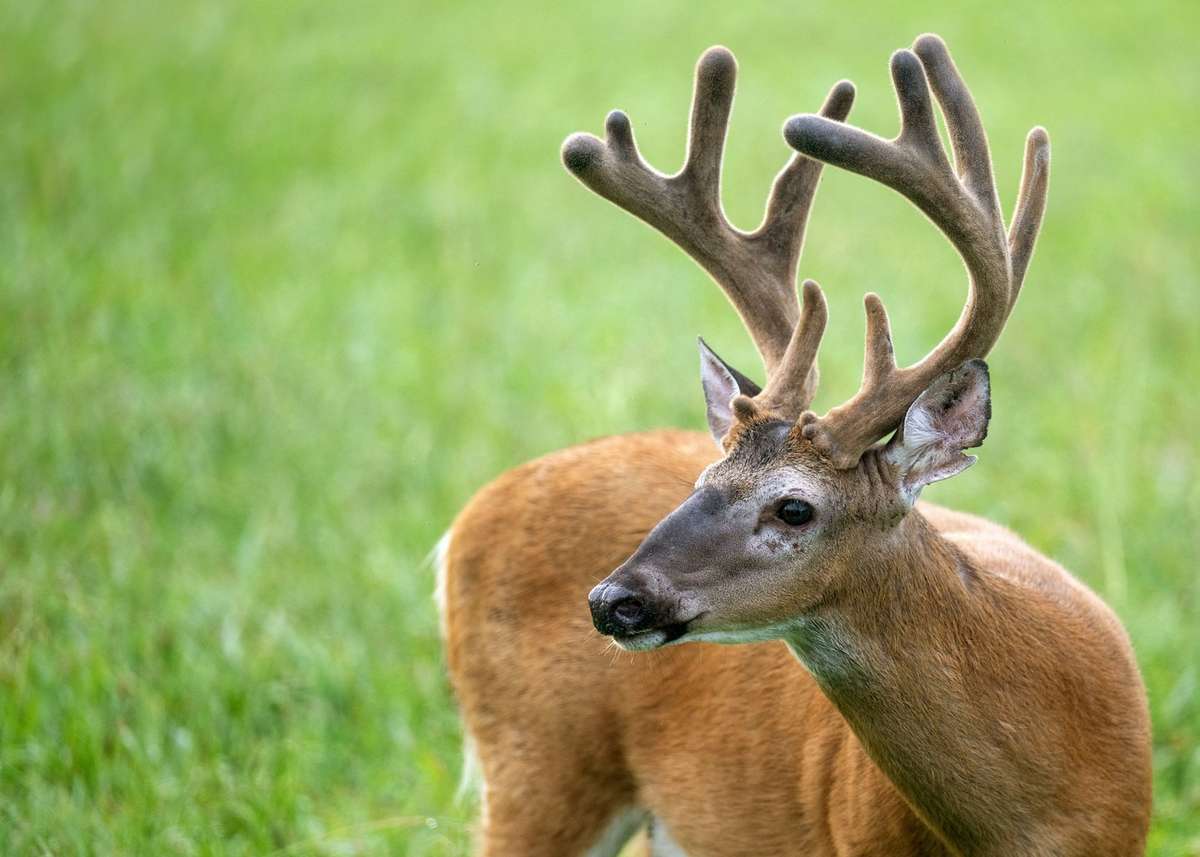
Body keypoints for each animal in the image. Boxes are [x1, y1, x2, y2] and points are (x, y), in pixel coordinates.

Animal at [439, 34, 1152, 857]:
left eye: (794, 508)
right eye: (701, 480)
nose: (613, 600)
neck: (1021, 823)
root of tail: (471, 514)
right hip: (536, 766)